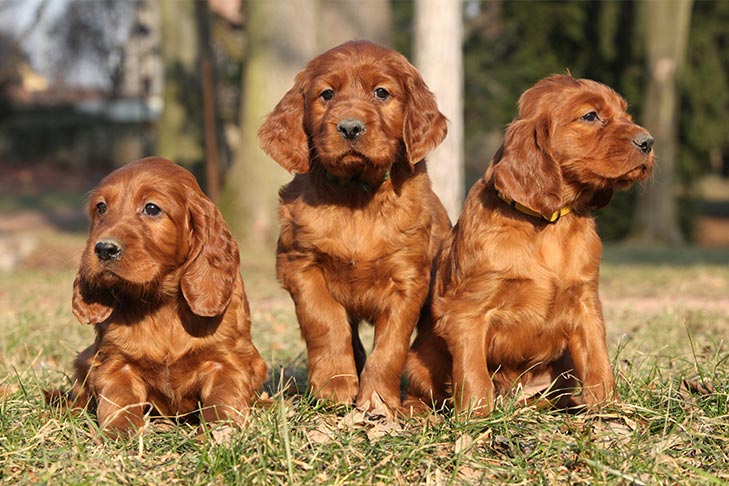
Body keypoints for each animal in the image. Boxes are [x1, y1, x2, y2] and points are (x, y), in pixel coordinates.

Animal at [67, 158, 268, 434]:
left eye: (152, 208)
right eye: (101, 207)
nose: (104, 249)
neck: (161, 302)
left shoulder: (227, 360)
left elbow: (222, 401)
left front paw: (219, 432)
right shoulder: (115, 363)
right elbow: (119, 401)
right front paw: (120, 432)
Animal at [404, 75, 656, 414]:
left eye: (625, 114)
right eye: (590, 116)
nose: (649, 142)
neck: (548, 223)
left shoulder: (586, 302)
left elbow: (597, 360)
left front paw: (608, 409)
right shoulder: (467, 311)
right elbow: (473, 372)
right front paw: (477, 417)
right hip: (419, 359)